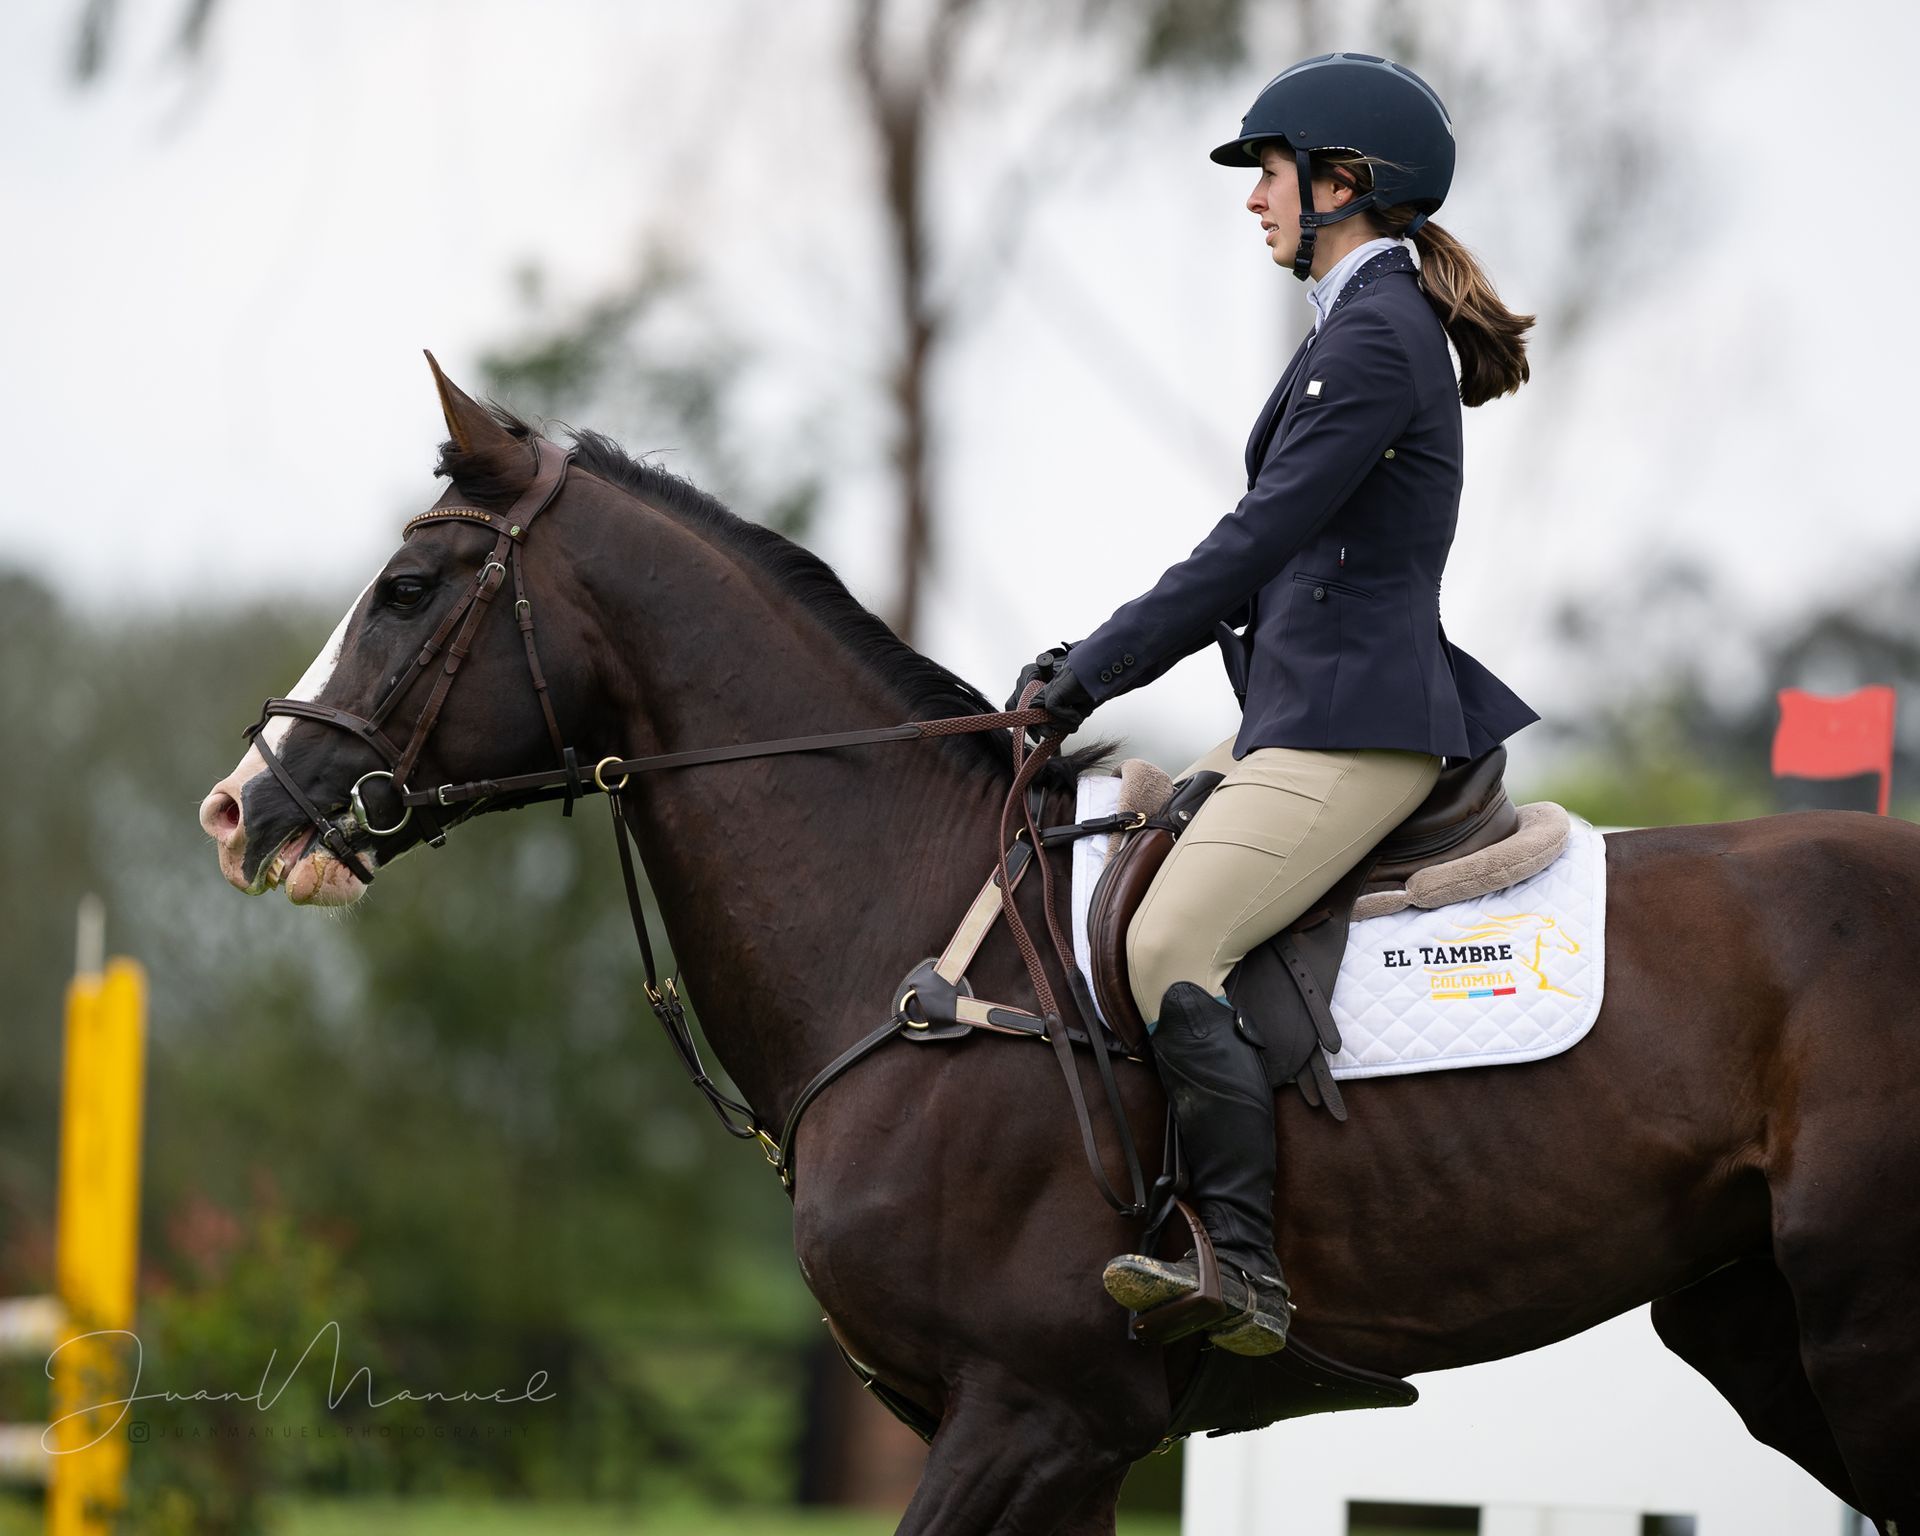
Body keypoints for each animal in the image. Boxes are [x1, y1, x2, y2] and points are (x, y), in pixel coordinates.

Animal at [199, 361, 1920, 1534]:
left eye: (408, 588)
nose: (239, 809)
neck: (908, 943)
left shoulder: (1032, 1411)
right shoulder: (1072, 1441)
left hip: (1862, 1328)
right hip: (1756, 1324)